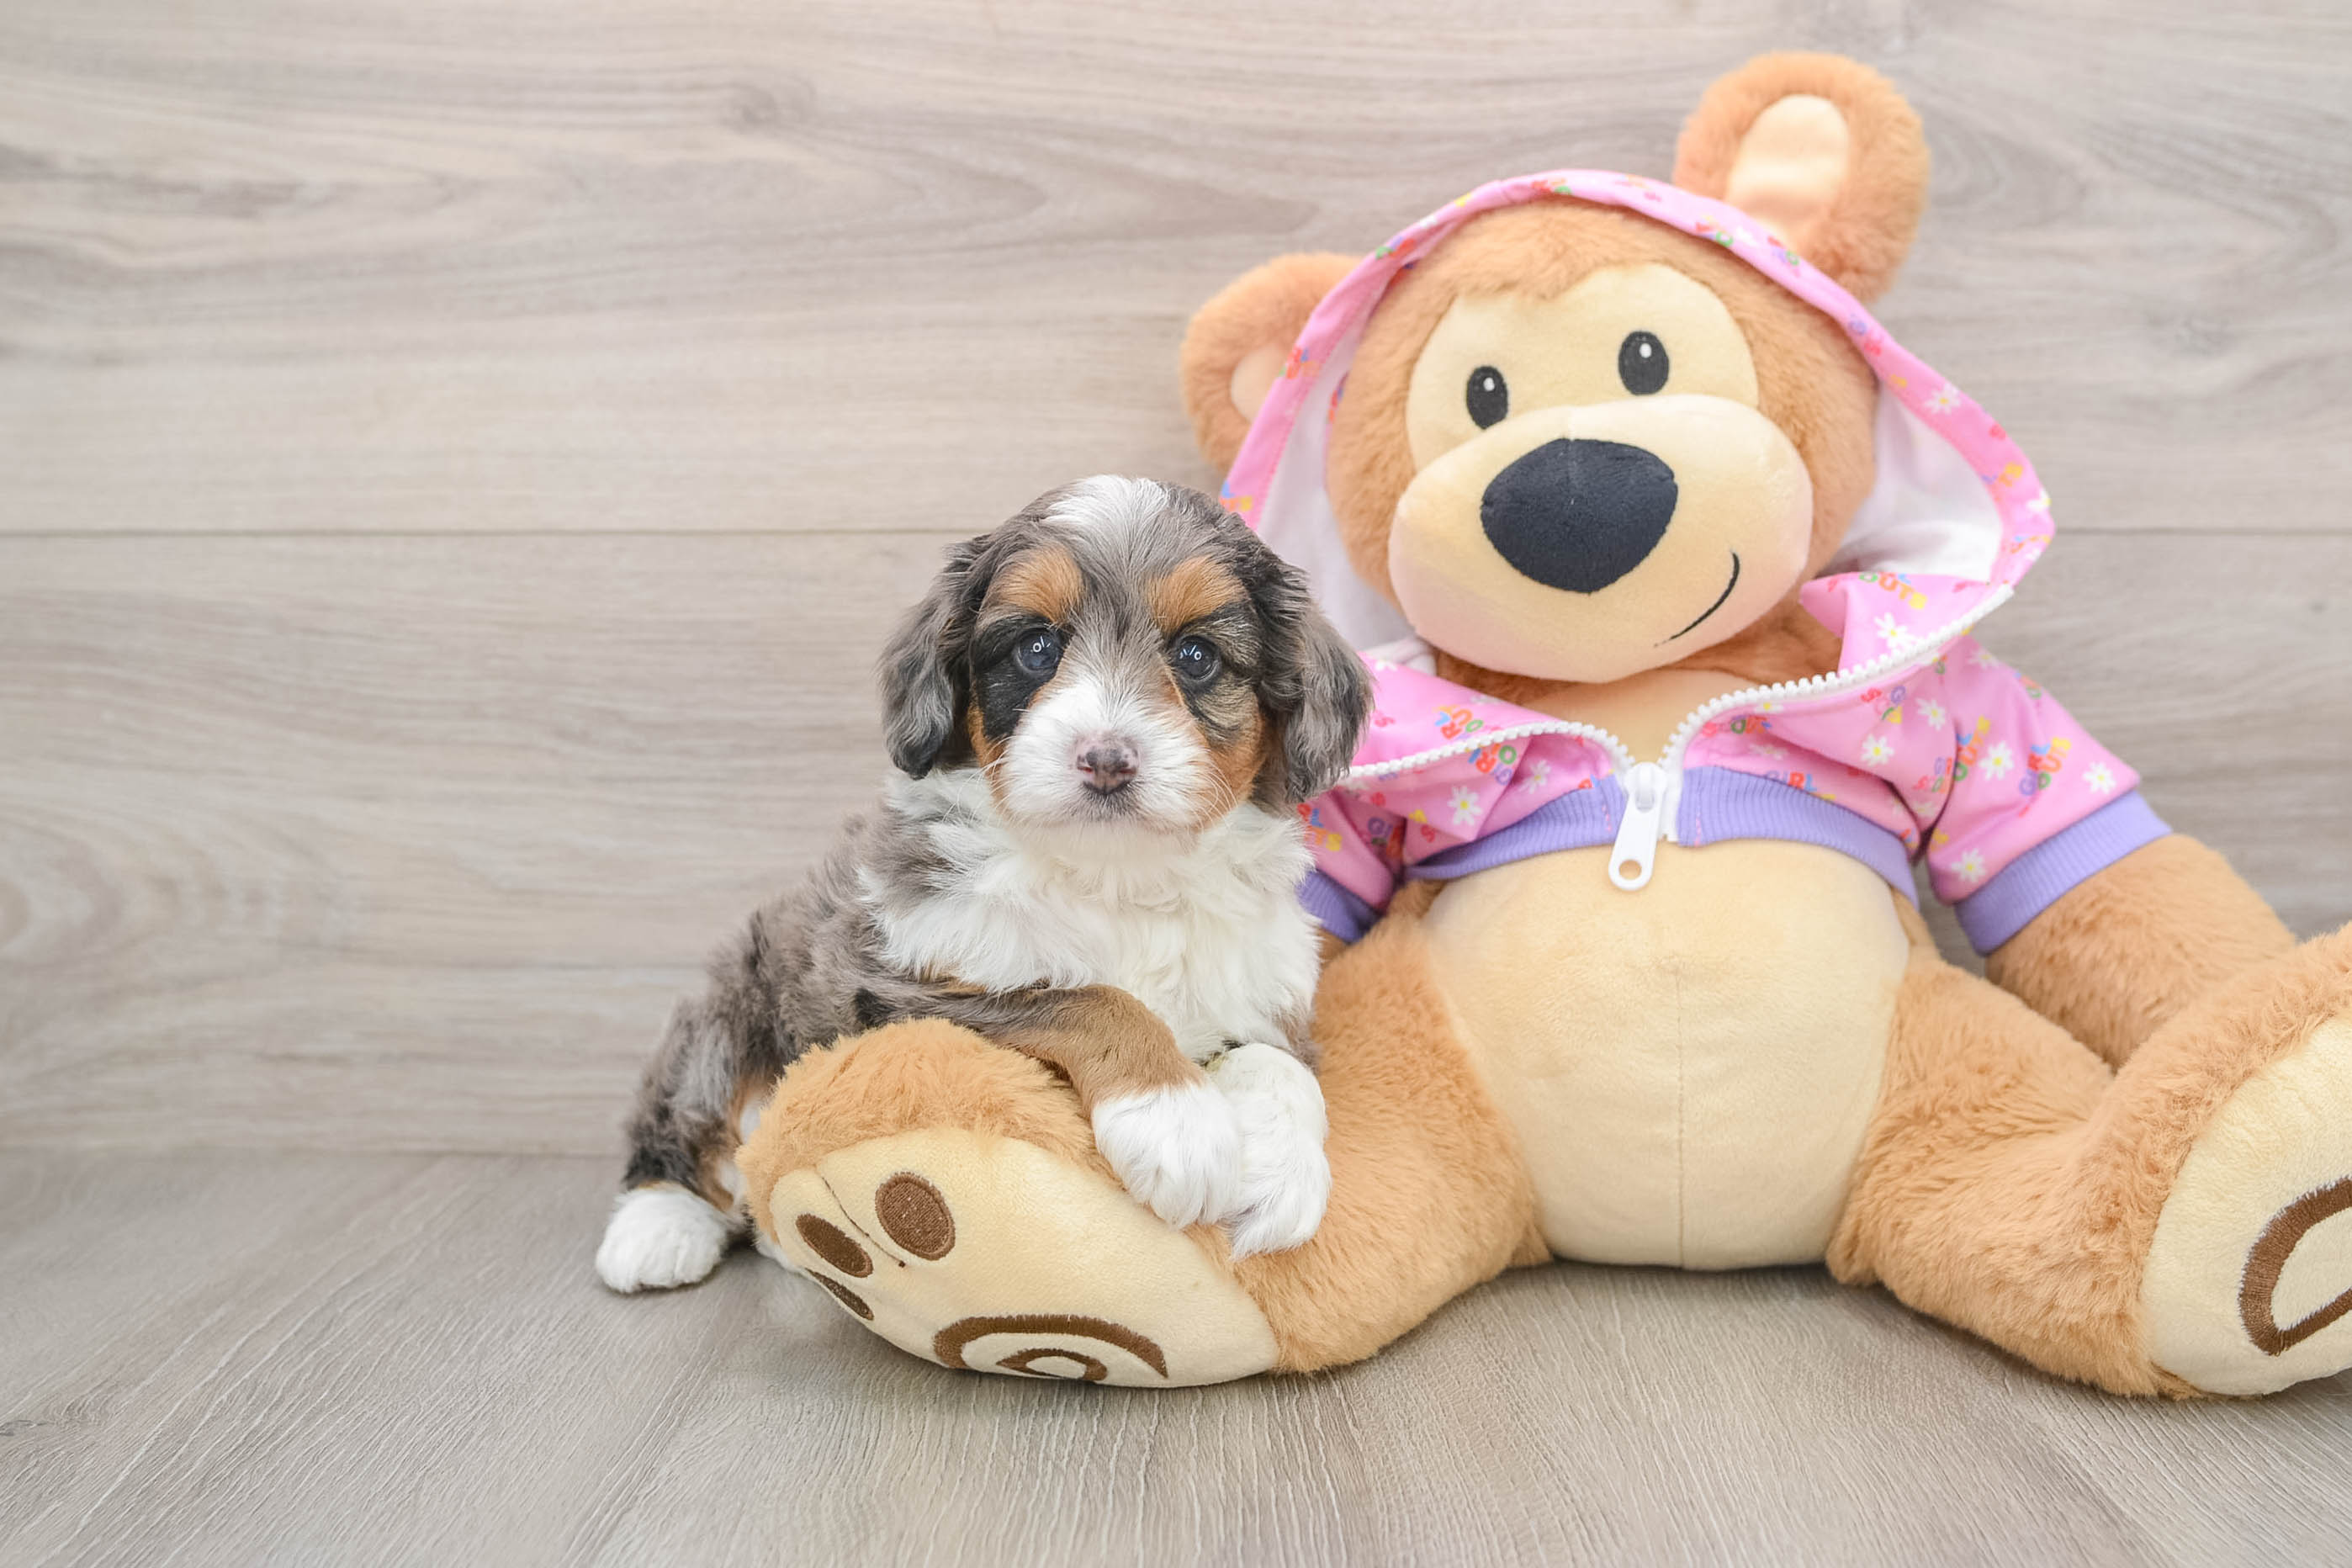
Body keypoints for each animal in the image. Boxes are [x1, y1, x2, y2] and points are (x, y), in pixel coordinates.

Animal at [595, 476, 1373, 1293]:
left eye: (1196, 656)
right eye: (1036, 648)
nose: (1106, 759)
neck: (1117, 874)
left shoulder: (1264, 977)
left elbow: (1283, 1064)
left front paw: (1283, 1177)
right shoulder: (900, 985)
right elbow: (1091, 1000)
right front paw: (1174, 1118)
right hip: (722, 1019)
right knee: (689, 1122)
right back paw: (657, 1229)